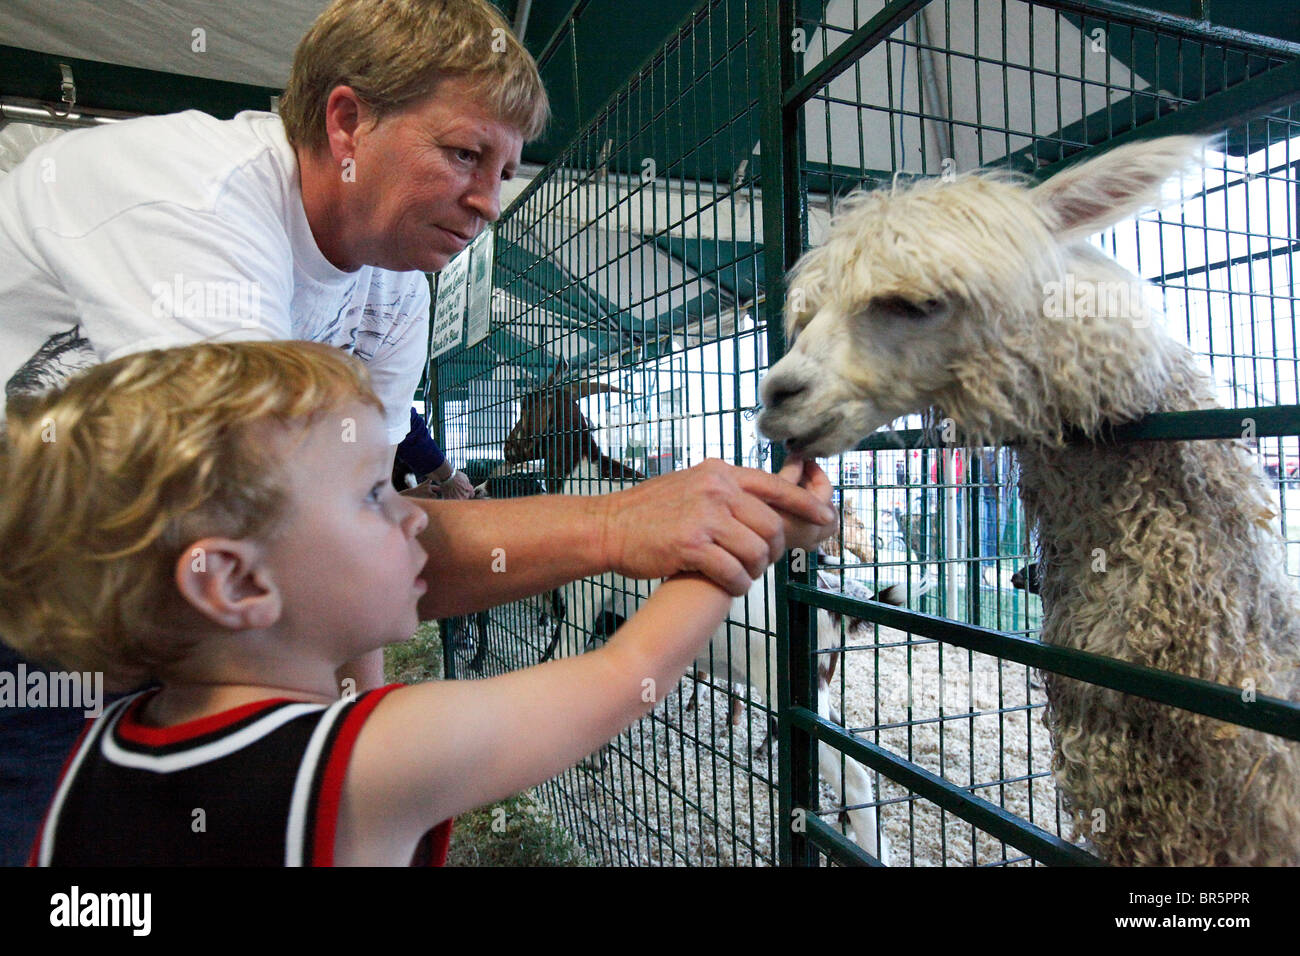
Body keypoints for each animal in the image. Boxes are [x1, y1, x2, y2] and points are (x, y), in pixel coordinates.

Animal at [506, 374, 894, 858]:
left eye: (529, 404)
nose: (508, 448)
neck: (586, 475)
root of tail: (829, 606)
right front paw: (595, 760)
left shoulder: (584, 602)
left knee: (854, 775)